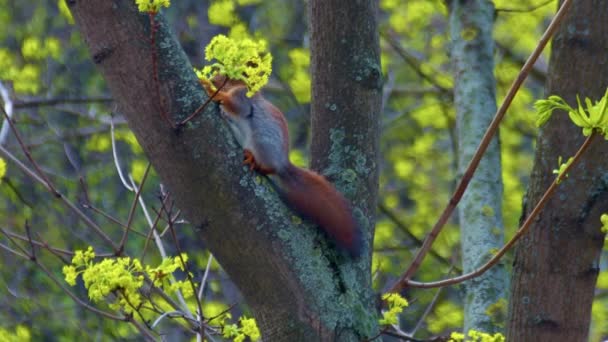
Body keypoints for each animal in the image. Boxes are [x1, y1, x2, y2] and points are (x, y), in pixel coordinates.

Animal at [201, 75, 360, 256]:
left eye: (228, 76)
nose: (213, 78)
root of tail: (283, 164)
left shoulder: (243, 99)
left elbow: (236, 106)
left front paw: (210, 90)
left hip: (262, 143)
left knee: (270, 168)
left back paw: (255, 162)